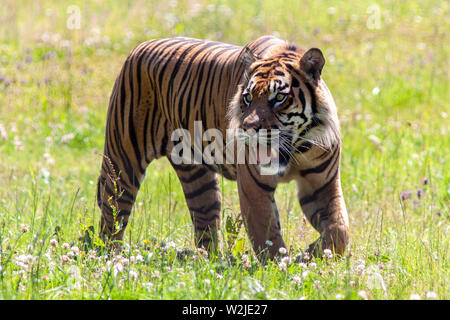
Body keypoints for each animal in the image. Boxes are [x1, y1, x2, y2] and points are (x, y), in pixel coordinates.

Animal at [97, 35, 352, 260]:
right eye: (248, 97)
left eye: (279, 98)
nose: (248, 127)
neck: (297, 150)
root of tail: (140, 47)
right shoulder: (254, 187)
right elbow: (268, 237)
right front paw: (281, 268)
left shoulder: (322, 185)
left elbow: (339, 230)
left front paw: (312, 254)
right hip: (122, 164)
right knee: (111, 219)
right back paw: (107, 258)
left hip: (198, 180)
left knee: (205, 226)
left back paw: (209, 262)